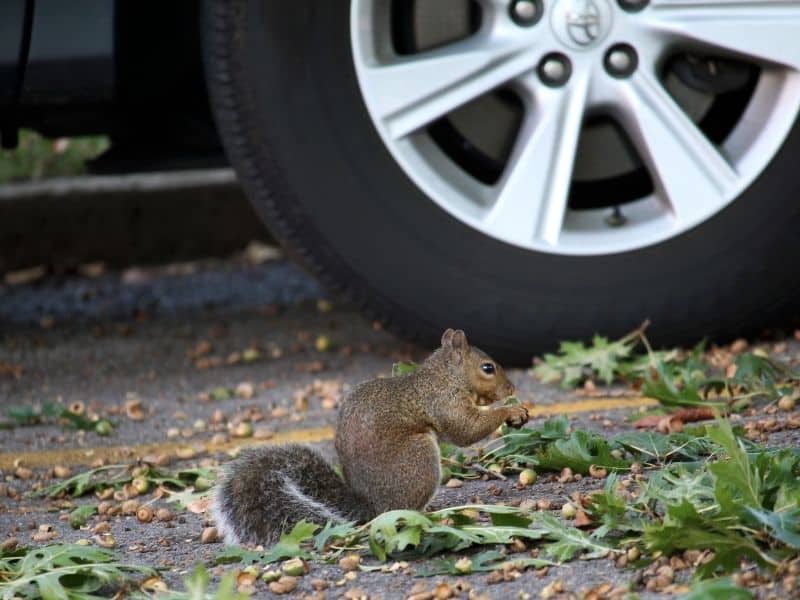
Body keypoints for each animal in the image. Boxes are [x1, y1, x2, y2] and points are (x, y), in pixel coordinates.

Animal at [209, 330, 528, 548]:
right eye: (488, 368)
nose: (512, 388)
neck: (443, 376)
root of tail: (371, 507)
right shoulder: (443, 402)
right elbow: (465, 429)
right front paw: (510, 409)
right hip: (420, 457)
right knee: (405, 507)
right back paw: (429, 515)